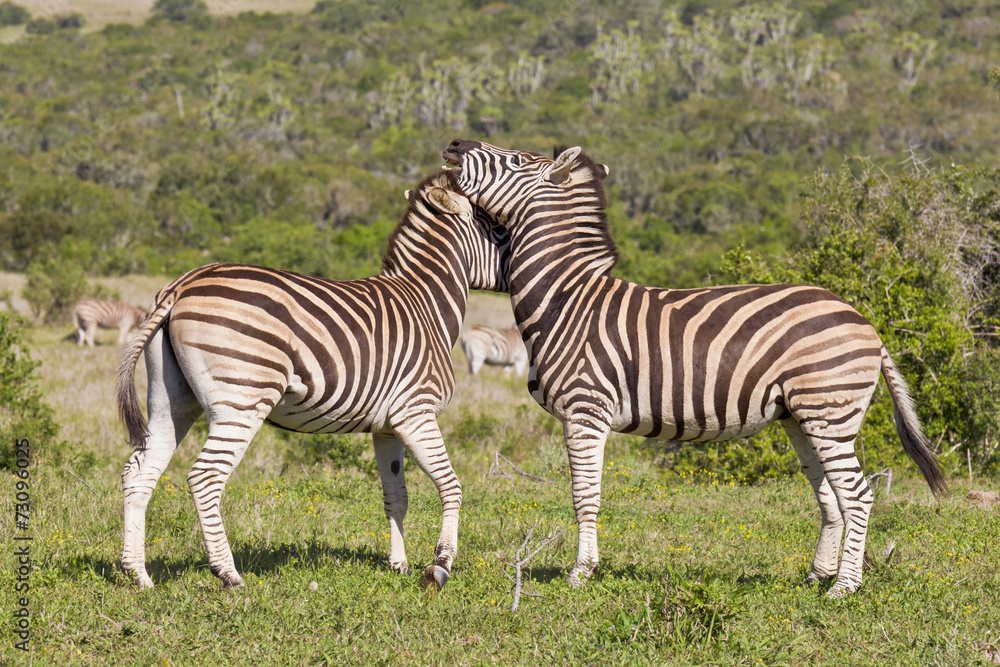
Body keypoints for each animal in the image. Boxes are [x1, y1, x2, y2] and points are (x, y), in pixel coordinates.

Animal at [115, 172, 510, 590]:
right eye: (499, 228)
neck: (427, 305)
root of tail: (182, 285)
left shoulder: (386, 427)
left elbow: (397, 495)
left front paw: (398, 565)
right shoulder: (415, 412)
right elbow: (450, 485)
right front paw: (442, 563)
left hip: (171, 399)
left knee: (139, 472)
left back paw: (138, 574)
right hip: (242, 400)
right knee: (205, 476)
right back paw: (229, 574)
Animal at [441, 139, 946, 598]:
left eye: (515, 159)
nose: (454, 144)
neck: (565, 301)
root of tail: (866, 323)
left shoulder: (585, 410)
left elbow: (584, 496)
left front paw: (580, 574)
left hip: (829, 409)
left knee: (857, 495)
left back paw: (844, 588)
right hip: (802, 416)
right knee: (831, 495)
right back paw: (818, 577)